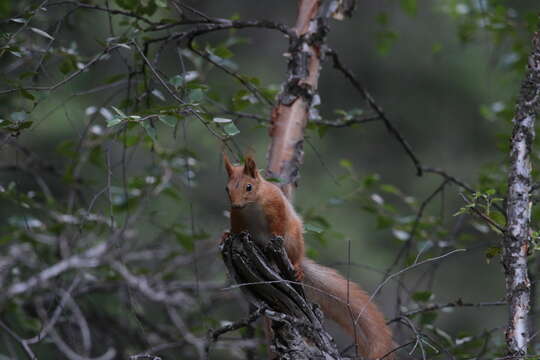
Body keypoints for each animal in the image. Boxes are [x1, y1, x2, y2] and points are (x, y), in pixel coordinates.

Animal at [224, 155, 396, 360]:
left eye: (249, 187)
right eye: (227, 188)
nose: (235, 204)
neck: (251, 206)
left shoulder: (276, 205)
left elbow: (279, 224)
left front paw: (273, 235)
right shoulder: (237, 218)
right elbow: (235, 230)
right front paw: (226, 235)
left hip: (293, 242)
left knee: (293, 255)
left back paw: (296, 267)